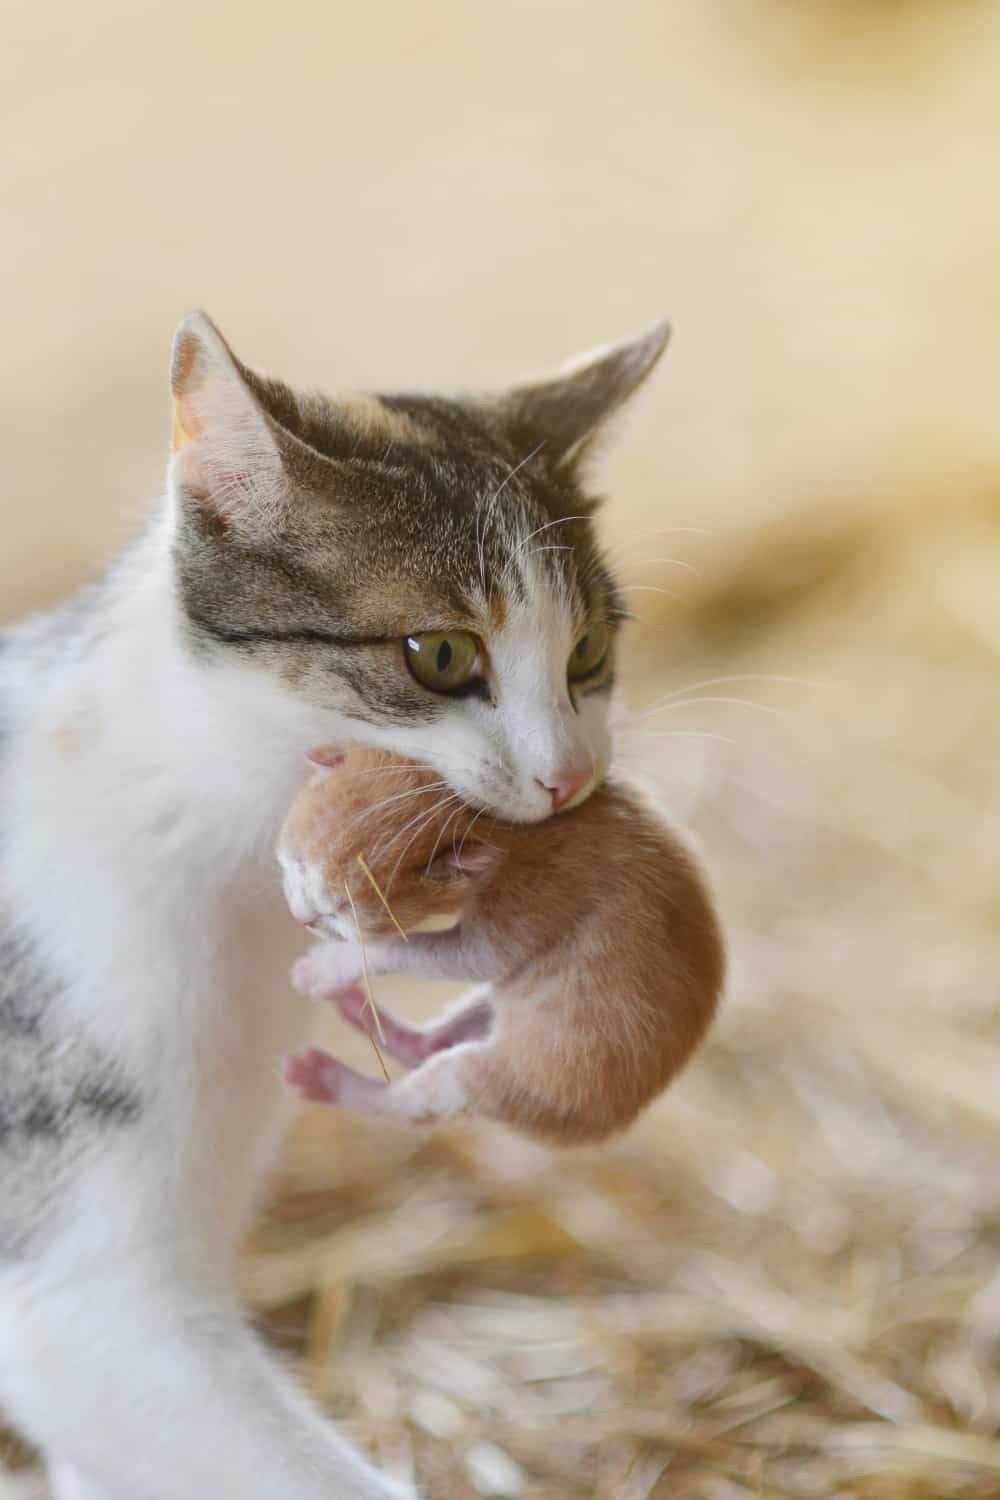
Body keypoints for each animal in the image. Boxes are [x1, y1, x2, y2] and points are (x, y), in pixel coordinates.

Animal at [277, 744, 722, 1140]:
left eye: (341, 910)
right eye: (298, 862)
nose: (301, 917)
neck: (508, 828)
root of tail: (601, 1127)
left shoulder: (539, 892)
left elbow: (460, 956)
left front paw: (323, 968)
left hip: (512, 1079)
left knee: (420, 1100)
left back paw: (325, 1078)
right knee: (434, 1042)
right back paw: (362, 1015)